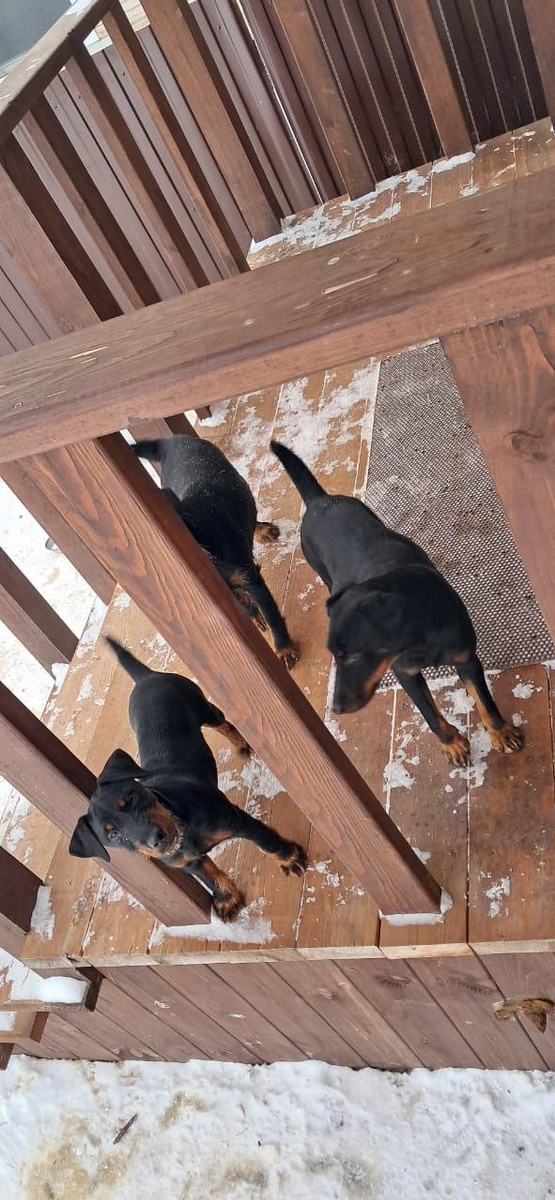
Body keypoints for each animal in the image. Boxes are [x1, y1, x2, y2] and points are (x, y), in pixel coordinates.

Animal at [69, 638, 307, 920]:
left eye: (131, 797)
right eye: (113, 835)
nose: (157, 838)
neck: (182, 825)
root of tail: (147, 677)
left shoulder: (236, 819)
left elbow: (265, 840)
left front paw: (289, 858)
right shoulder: (186, 863)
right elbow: (208, 875)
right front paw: (226, 899)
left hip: (204, 708)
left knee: (224, 722)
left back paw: (241, 743)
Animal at [132, 434, 298, 669]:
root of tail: (170, 440)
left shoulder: (250, 578)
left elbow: (272, 615)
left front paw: (284, 650)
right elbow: (246, 608)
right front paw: (254, 615)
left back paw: (263, 529)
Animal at [271, 441, 524, 767]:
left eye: (354, 655)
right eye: (335, 655)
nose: (336, 708)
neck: (419, 637)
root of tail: (319, 500)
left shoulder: (466, 657)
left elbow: (485, 700)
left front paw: (501, 734)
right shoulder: (406, 673)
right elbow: (429, 713)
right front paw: (453, 745)